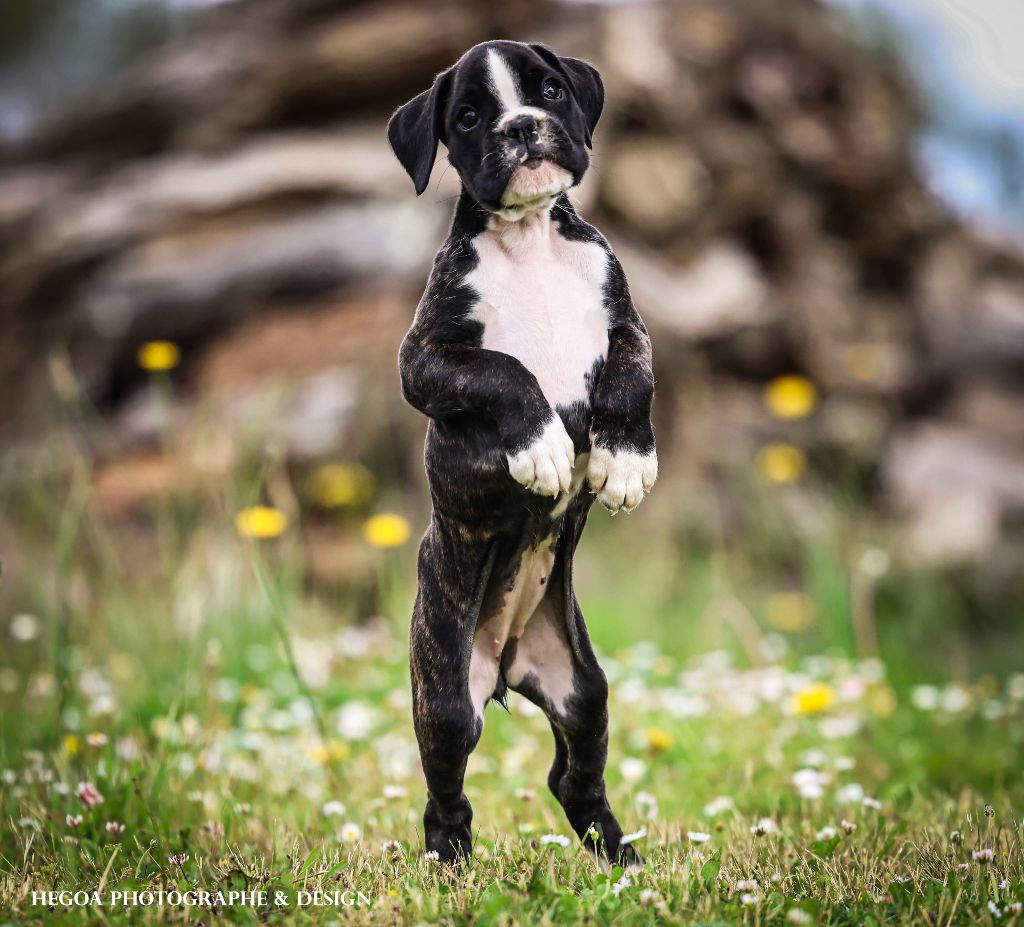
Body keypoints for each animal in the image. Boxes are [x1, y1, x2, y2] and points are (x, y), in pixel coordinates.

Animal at [388, 40, 657, 867]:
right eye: (471, 116)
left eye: (550, 90)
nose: (521, 126)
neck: (532, 239)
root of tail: (506, 659)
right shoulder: (426, 360)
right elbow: (506, 371)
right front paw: (542, 449)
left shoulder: (626, 324)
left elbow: (633, 381)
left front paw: (625, 459)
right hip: (446, 696)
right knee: (446, 791)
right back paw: (450, 865)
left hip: (582, 686)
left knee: (574, 774)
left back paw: (620, 857)